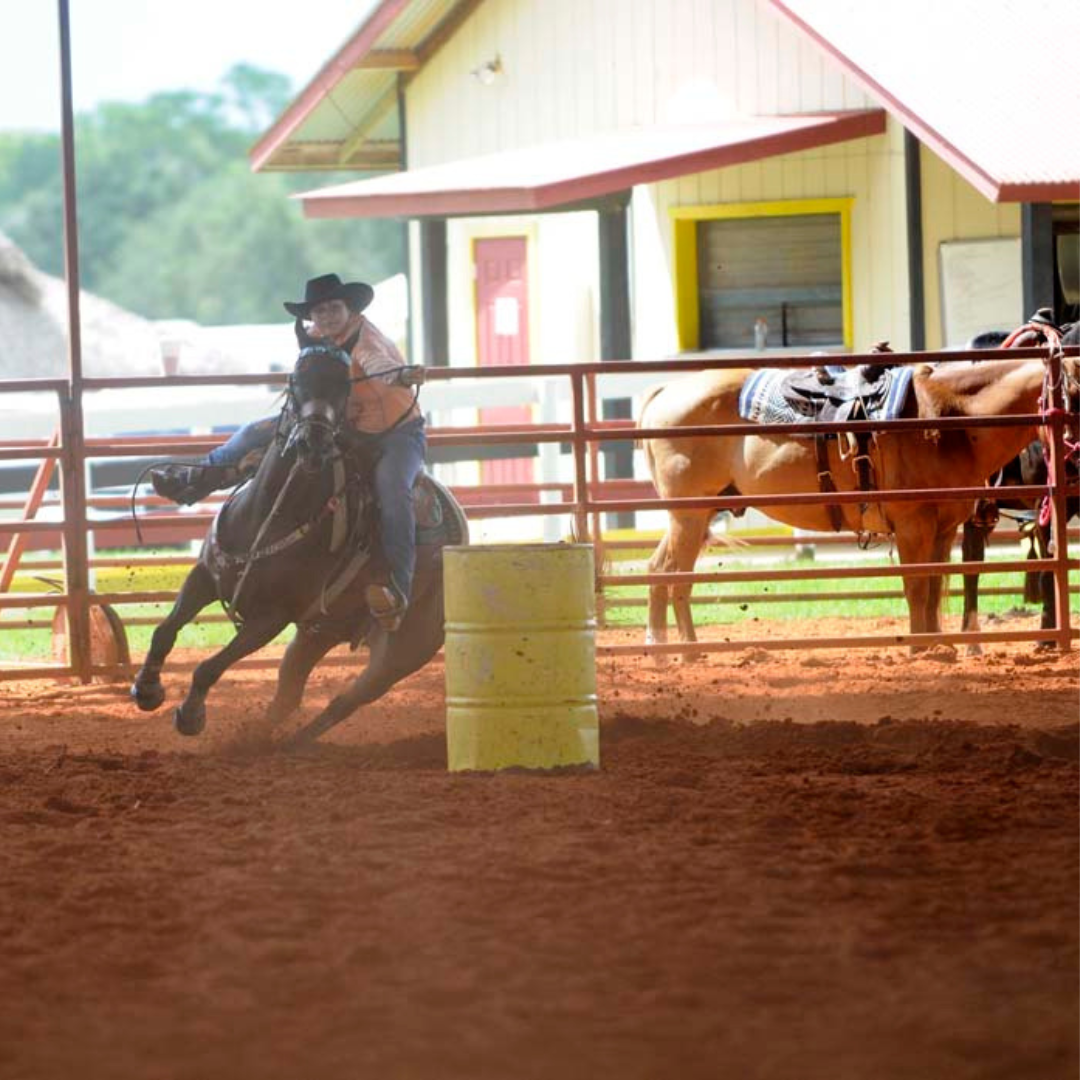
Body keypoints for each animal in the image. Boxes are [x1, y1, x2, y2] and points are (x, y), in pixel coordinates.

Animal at [128, 343, 466, 743]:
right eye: (296, 378)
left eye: (344, 386)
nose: (312, 444)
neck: (268, 516)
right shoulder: (206, 576)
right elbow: (164, 631)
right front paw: (147, 689)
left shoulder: (272, 617)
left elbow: (209, 667)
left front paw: (191, 716)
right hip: (317, 632)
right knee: (289, 694)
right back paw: (258, 740)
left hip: (403, 650)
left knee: (344, 702)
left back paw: (293, 743)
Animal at [635, 332, 1075, 648]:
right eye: (1074, 391)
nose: (1073, 465)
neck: (949, 418)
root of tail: (664, 392)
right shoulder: (913, 525)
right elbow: (917, 588)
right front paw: (921, 649)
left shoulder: (944, 528)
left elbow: (934, 586)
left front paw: (939, 647)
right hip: (689, 513)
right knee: (677, 578)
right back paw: (689, 652)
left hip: (696, 514)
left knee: (659, 571)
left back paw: (661, 651)